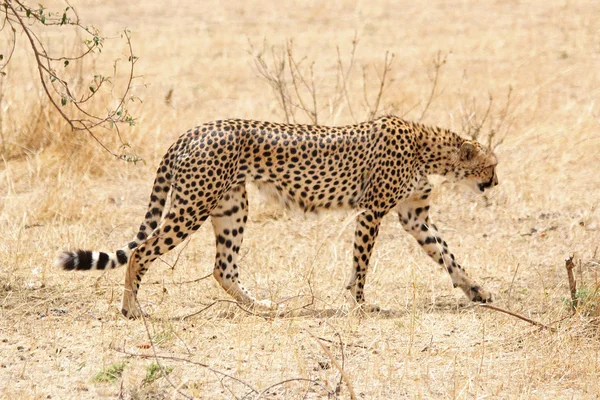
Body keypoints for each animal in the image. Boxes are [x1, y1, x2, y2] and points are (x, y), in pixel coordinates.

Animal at [56, 115, 496, 318]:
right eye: (491, 165)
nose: (495, 182)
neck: (429, 148)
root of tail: (193, 130)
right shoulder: (372, 212)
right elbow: (362, 263)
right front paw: (360, 304)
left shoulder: (414, 217)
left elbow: (448, 255)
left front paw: (477, 290)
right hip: (193, 206)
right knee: (141, 251)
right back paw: (132, 309)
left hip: (231, 206)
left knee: (222, 267)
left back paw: (260, 306)